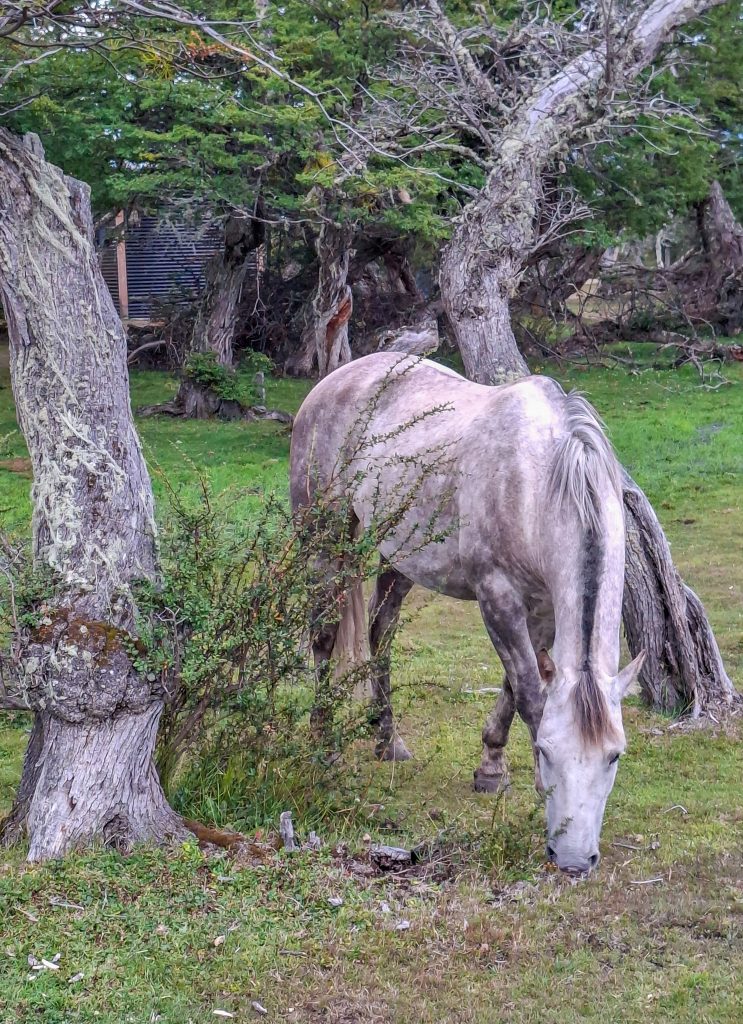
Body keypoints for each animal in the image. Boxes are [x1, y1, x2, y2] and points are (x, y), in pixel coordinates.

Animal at [289, 352, 644, 875]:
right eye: (547, 751)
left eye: (615, 756)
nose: (575, 860)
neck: (540, 481)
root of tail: (333, 381)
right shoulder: (497, 597)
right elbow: (529, 693)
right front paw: (525, 782)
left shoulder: (542, 609)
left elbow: (516, 686)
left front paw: (490, 766)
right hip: (323, 535)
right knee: (325, 636)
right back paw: (323, 743)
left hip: (400, 556)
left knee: (380, 631)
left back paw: (387, 740)